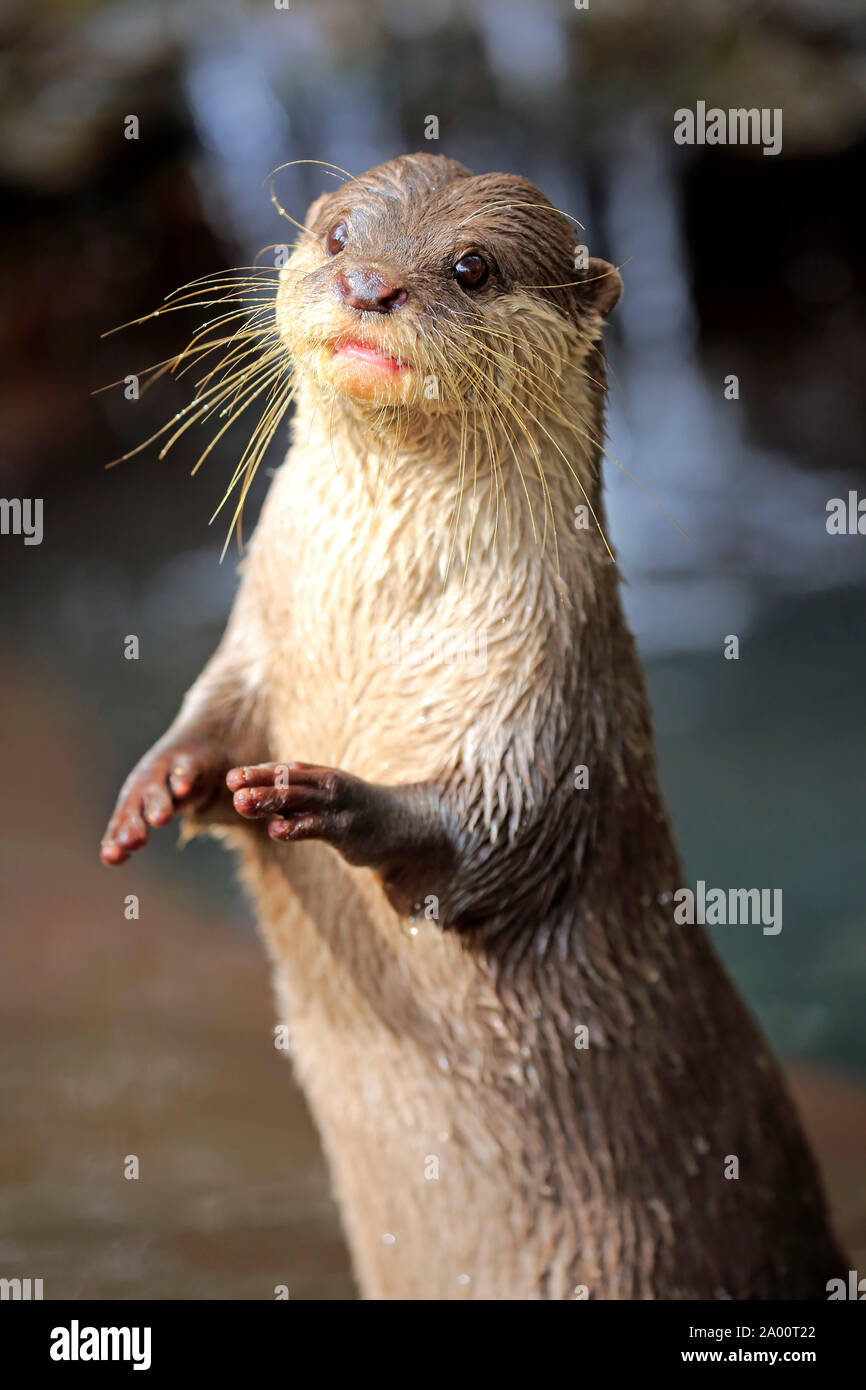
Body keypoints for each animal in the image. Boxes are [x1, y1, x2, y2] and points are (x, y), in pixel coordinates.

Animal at [100, 154, 845, 1301]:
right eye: (339, 233)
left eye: (470, 266)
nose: (369, 284)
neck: (372, 626)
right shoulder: (257, 628)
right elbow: (209, 713)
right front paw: (158, 785)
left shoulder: (548, 690)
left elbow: (500, 836)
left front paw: (329, 797)